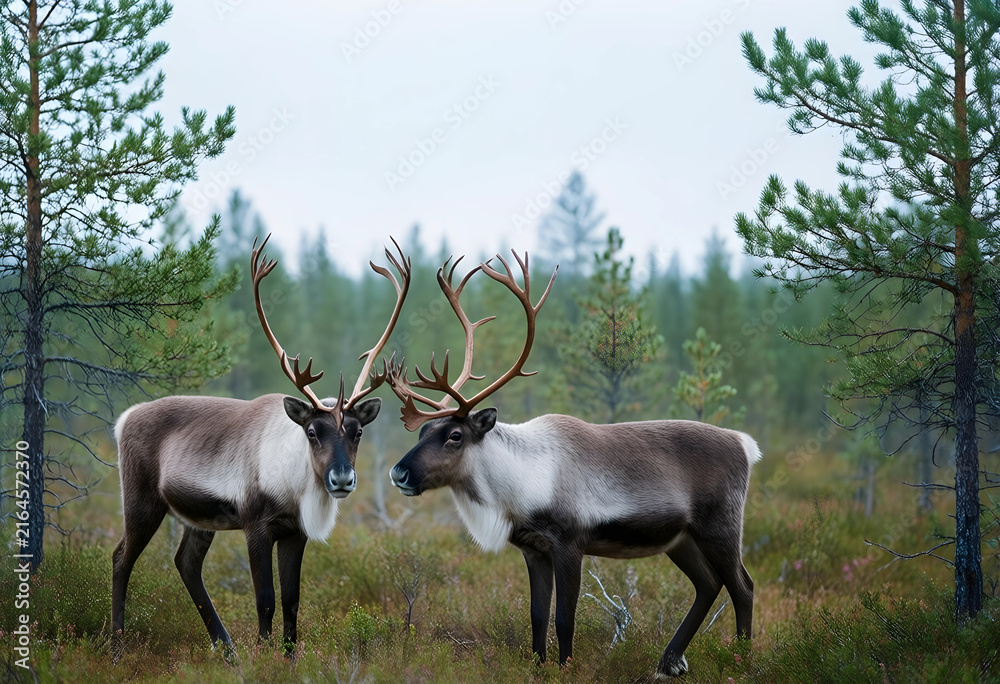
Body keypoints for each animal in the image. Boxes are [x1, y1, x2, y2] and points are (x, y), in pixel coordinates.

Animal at [111, 234, 410, 658]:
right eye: (312, 431)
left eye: (357, 432)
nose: (342, 479)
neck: (293, 488)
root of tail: (123, 420)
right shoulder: (256, 524)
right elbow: (265, 598)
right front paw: (264, 655)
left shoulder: (295, 532)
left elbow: (292, 600)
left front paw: (288, 657)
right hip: (142, 501)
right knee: (121, 558)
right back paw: (116, 644)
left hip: (200, 518)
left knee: (186, 563)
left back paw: (227, 649)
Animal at [384, 251, 761, 679]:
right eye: (422, 430)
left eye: (454, 435)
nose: (399, 472)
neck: (520, 485)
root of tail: (744, 444)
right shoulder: (533, 550)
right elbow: (537, 618)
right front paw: (537, 668)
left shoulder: (570, 544)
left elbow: (565, 619)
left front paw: (565, 668)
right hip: (680, 538)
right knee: (708, 585)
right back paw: (668, 662)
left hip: (720, 526)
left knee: (742, 586)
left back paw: (741, 660)